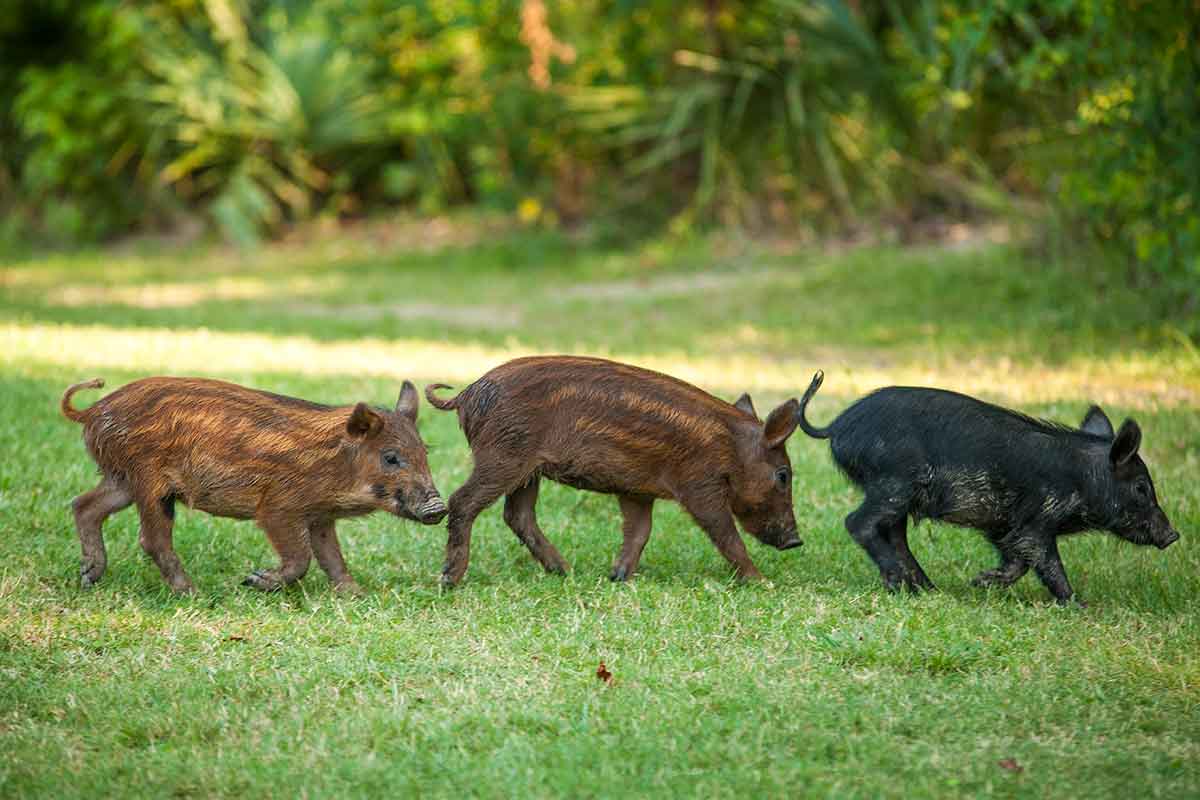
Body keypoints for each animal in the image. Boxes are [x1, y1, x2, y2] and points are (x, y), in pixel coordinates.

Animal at [61, 376, 446, 594]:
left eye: (425, 452)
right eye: (391, 457)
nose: (438, 507)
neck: (332, 465)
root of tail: (91, 412)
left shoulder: (321, 516)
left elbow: (332, 557)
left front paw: (356, 594)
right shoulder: (278, 507)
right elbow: (301, 558)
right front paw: (253, 581)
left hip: (122, 479)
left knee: (84, 505)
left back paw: (88, 577)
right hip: (149, 483)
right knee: (152, 539)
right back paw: (192, 593)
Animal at [425, 355, 803, 586]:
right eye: (783, 475)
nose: (795, 541)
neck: (730, 447)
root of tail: (465, 395)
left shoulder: (637, 490)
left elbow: (639, 531)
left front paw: (618, 577)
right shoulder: (699, 484)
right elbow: (725, 534)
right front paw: (763, 582)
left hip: (526, 470)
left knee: (517, 514)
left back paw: (566, 572)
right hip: (503, 456)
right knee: (462, 501)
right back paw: (450, 580)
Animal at [797, 370, 1181, 604]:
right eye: (1142, 488)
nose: (1173, 535)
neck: (1081, 478)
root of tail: (837, 427)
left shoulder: (1004, 525)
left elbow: (1017, 560)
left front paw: (980, 582)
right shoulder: (1037, 520)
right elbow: (1045, 562)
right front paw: (1078, 604)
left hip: (897, 492)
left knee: (893, 534)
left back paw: (925, 588)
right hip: (893, 482)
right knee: (857, 522)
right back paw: (904, 583)